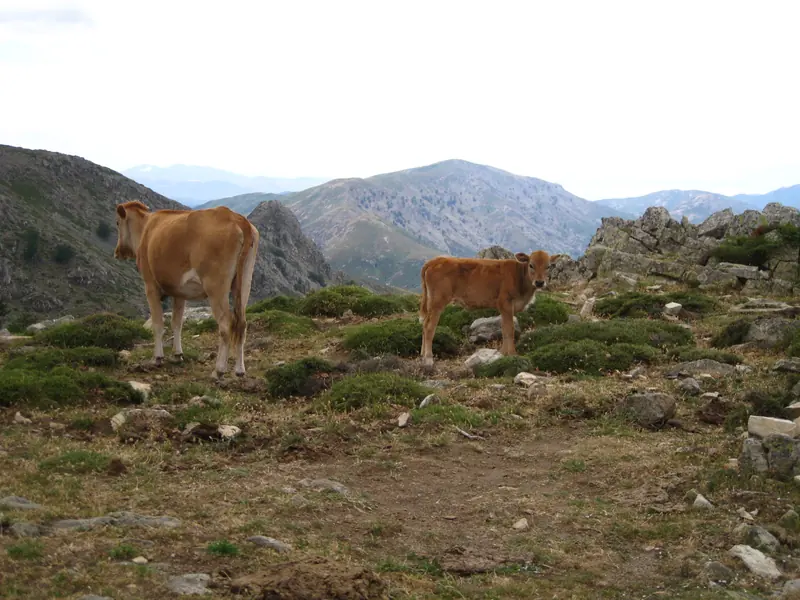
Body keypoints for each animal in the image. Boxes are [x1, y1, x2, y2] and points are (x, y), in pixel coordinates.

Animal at [113, 200, 260, 379]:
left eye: (117, 223)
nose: (117, 252)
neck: (145, 229)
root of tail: (237, 218)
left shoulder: (150, 285)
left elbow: (158, 323)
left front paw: (157, 358)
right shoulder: (179, 292)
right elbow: (177, 322)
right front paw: (177, 354)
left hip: (215, 286)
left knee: (226, 323)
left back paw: (218, 370)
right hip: (245, 281)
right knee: (242, 323)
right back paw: (239, 370)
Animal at [418, 250, 562, 367]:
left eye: (548, 266)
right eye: (531, 265)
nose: (539, 282)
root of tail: (435, 261)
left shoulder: (505, 309)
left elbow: (504, 329)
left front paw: (502, 353)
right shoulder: (505, 303)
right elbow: (509, 330)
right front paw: (512, 354)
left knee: (424, 324)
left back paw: (422, 354)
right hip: (438, 301)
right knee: (429, 327)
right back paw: (428, 358)